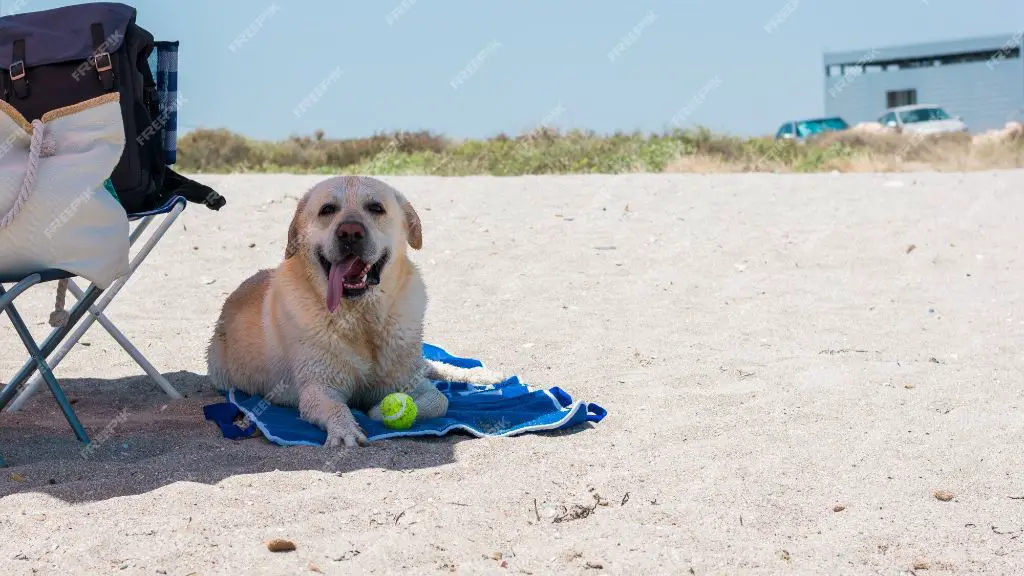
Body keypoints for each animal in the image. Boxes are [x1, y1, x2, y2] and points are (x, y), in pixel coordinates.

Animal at [209, 177, 505, 446]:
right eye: (327, 209)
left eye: (376, 208)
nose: (350, 232)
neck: (362, 318)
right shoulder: (319, 387)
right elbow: (336, 408)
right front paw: (345, 430)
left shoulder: (408, 380)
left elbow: (439, 399)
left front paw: (379, 412)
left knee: (435, 366)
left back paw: (481, 375)